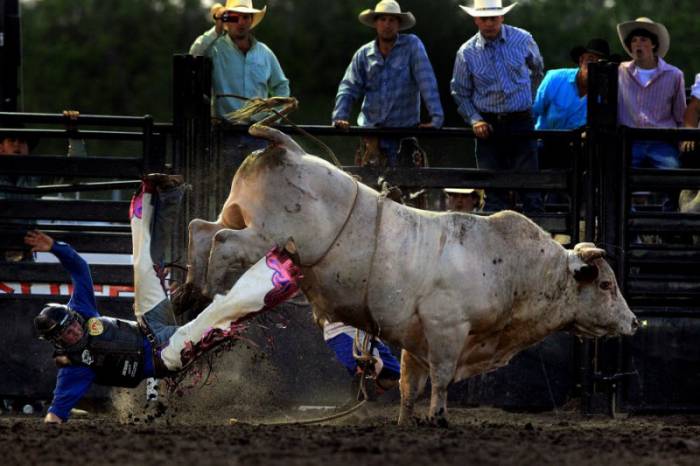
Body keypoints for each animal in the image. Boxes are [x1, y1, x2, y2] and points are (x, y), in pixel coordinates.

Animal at [176, 124, 640, 426]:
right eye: (605, 284)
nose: (634, 323)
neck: (514, 267)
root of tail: (289, 148)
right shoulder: (446, 328)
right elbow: (441, 378)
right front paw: (438, 419)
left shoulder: (415, 339)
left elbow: (408, 385)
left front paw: (407, 421)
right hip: (263, 237)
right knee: (222, 243)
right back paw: (206, 293)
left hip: (236, 214)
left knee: (200, 228)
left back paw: (188, 294)